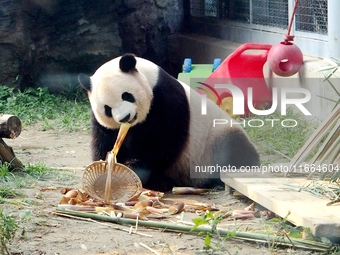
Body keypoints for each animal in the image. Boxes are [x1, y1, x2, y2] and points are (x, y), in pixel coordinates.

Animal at [79, 52, 260, 190]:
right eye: (107, 109)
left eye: (127, 95)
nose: (125, 117)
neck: (150, 77)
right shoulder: (100, 121)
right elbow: (104, 140)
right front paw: (104, 171)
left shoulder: (165, 99)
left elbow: (160, 142)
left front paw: (134, 168)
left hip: (215, 140)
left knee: (234, 150)